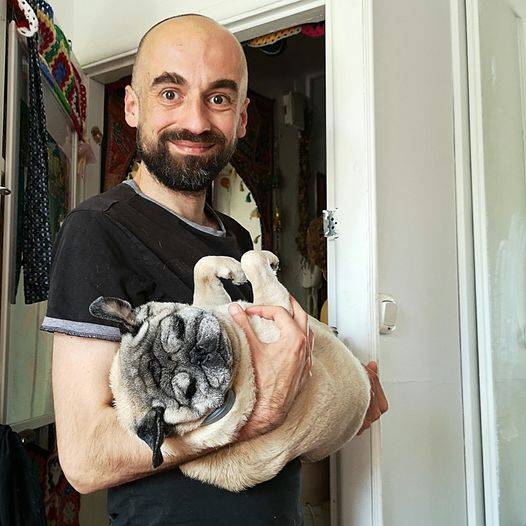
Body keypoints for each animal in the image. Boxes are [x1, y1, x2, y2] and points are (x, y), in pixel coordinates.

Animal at [89, 250, 370, 492]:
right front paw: (265, 261)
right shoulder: (279, 310)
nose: (199, 353)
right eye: (190, 390)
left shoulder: (216, 304)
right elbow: (253, 261)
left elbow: (202, 267)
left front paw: (233, 269)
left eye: (178, 328)